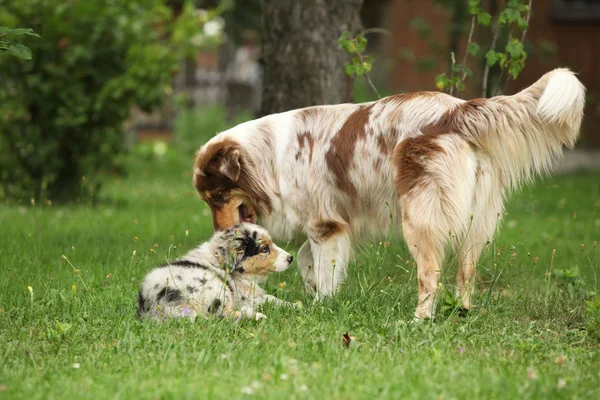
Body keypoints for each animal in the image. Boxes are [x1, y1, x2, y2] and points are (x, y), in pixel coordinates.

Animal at [193, 69, 584, 318]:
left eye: (216, 197)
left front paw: (321, 307)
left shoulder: (325, 225)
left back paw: (418, 320)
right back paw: (462, 312)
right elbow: (305, 261)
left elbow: (321, 268)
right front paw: (315, 295)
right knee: (466, 272)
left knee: (431, 274)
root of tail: (458, 110)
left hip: (419, 217)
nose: (218, 234)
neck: (269, 157)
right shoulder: (331, 223)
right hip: (477, 220)